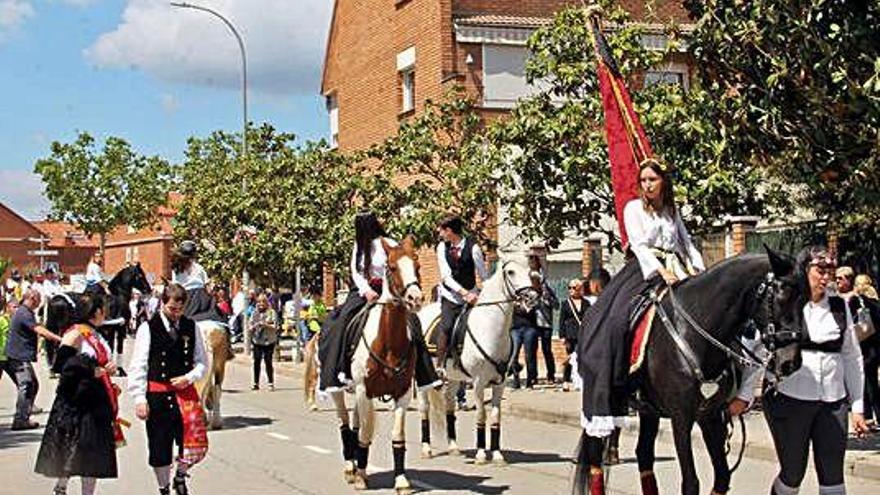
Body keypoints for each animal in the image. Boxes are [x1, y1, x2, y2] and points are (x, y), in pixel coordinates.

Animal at [330, 238, 430, 494]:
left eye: (417, 265)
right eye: (392, 267)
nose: (415, 298)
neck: (389, 341)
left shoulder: (402, 392)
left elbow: (397, 435)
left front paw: (401, 480)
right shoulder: (364, 390)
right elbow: (365, 432)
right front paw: (361, 476)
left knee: (354, 424)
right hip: (338, 391)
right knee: (345, 423)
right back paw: (350, 467)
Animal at [418, 262, 536, 466]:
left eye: (529, 271)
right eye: (511, 272)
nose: (532, 297)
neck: (489, 328)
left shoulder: (500, 383)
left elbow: (495, 417)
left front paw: (497, 455)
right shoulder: (479, 382)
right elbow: (481, 414)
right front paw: (481, 454)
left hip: (454, 378)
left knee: (449, 405)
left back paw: (453, 447)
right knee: (424, 409)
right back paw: (426, 449)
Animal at [576, 252, 808, 495]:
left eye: (805, 299)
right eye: (782, 296)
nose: (791, 363)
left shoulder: (711, 415)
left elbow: (722, 477)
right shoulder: (681, 417)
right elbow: (691, 483)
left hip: (649, 410)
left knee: (644, 454)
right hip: (600, 400)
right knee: (595, 457)